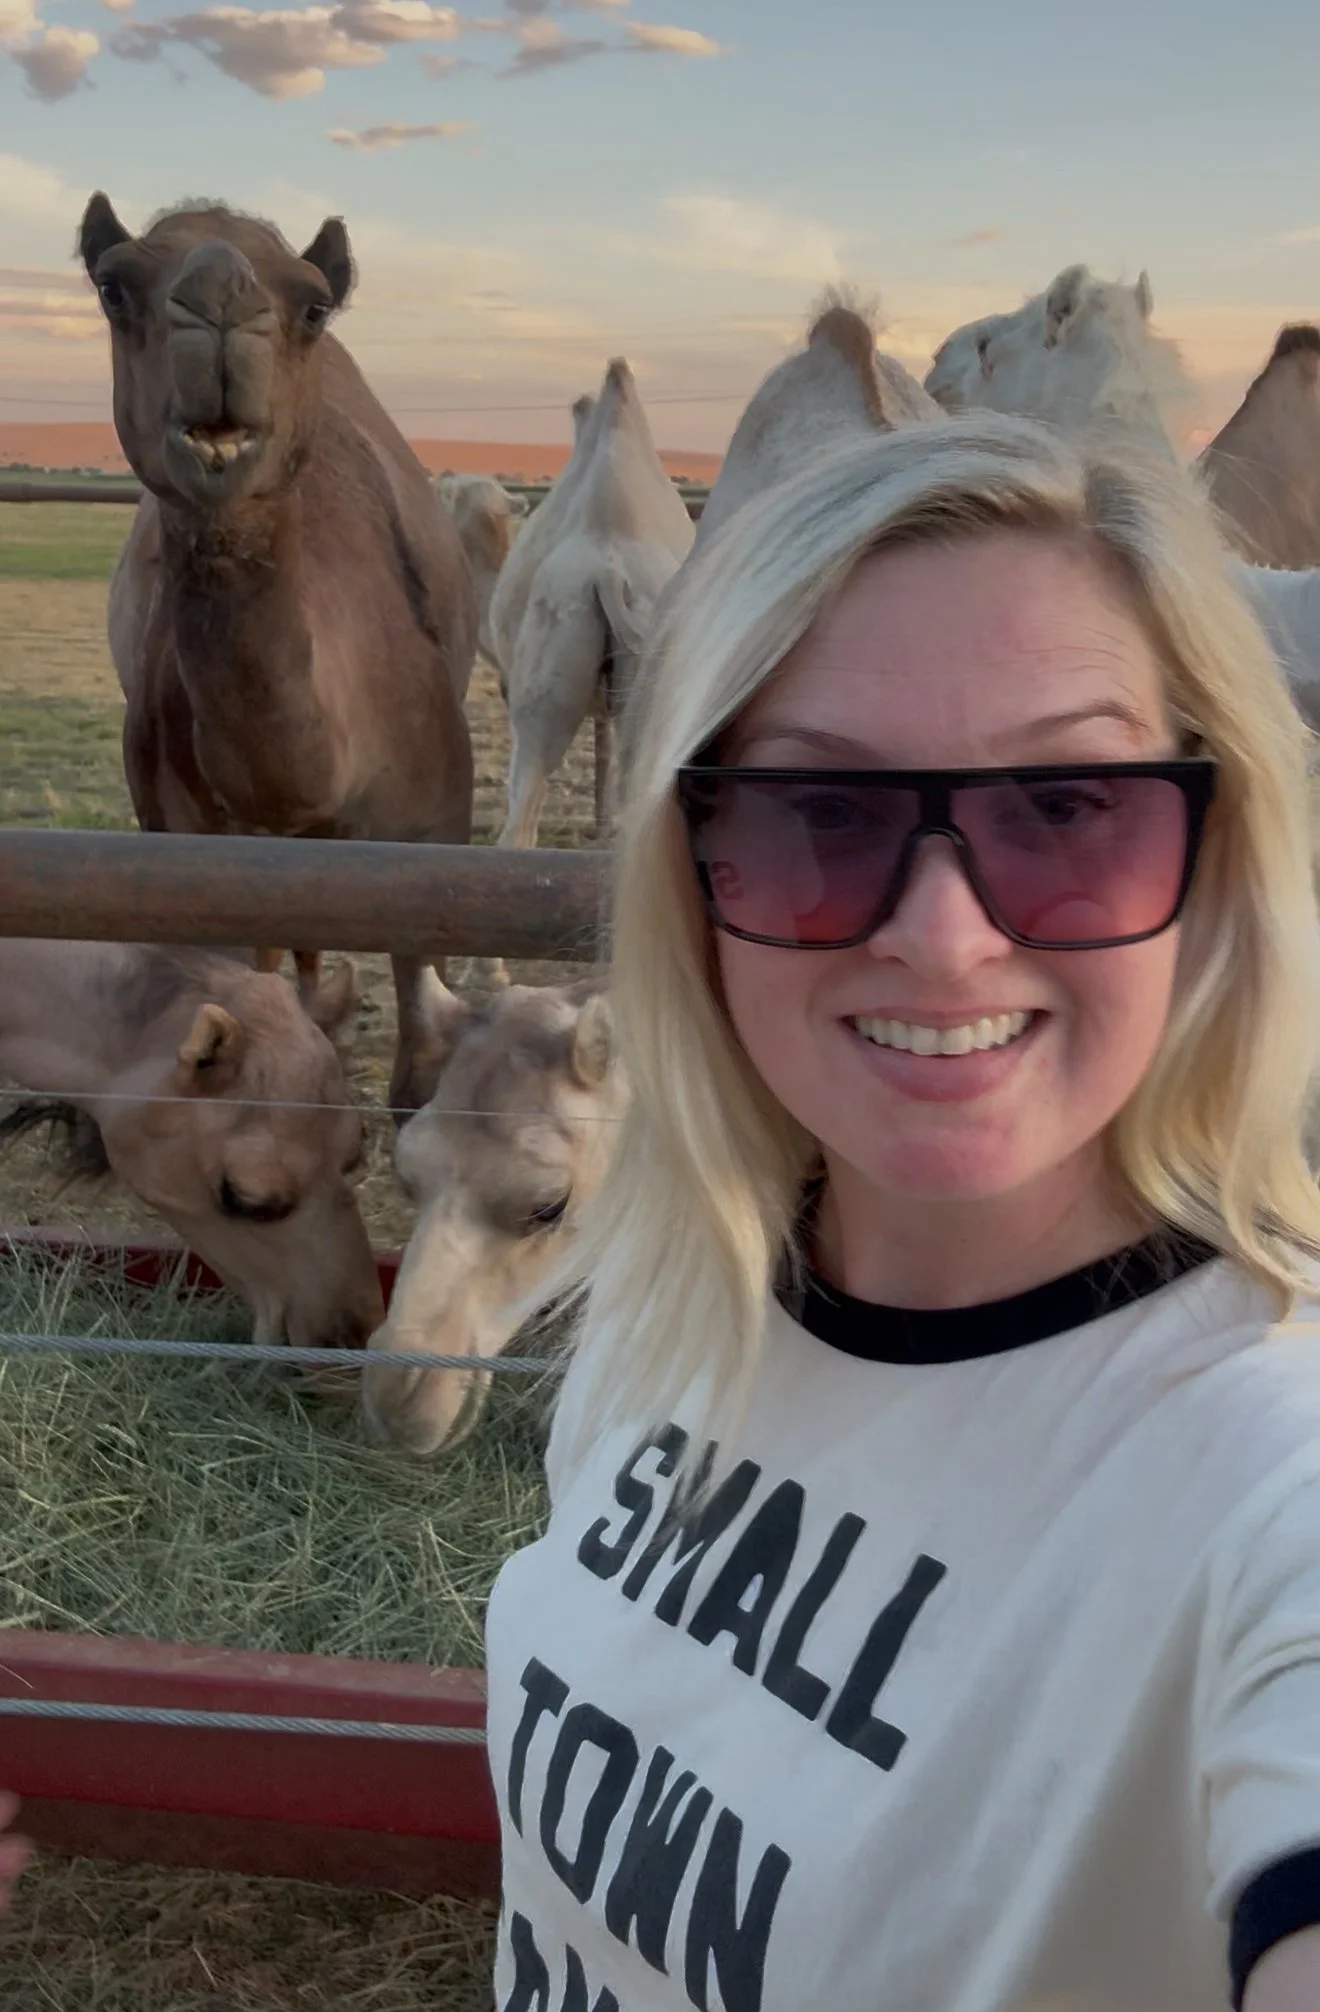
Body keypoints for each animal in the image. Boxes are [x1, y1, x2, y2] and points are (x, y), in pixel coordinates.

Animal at [81, 192, 477, 1115]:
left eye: (313, 305)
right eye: (113, 287)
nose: (221, 296)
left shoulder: (434, 838)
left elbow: (421, 1074)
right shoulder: (186, 846)